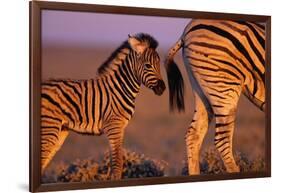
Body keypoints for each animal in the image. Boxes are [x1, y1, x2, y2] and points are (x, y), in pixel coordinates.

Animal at [40, 33, 165, 179]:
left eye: (159, 64)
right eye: (148, 65)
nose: (162, 88)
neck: (121, 88)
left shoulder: (120, 128)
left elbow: (115, 161)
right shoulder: (114, 126)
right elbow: (117, 163)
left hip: (60, 131)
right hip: (49, 128)